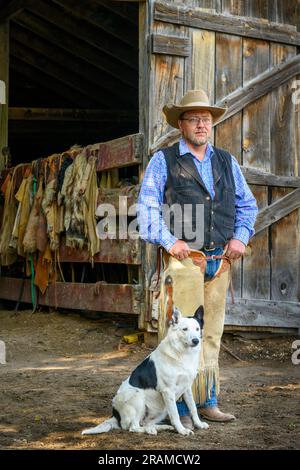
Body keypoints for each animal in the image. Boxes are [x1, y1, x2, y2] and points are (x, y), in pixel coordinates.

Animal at [82, 306, 209, 436]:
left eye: (197, 329)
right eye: (185, 329)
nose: (196, 341)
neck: (182, 354)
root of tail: (115, 415)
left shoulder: (187, 388)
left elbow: (193, 407)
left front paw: (198, 424)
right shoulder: (168, 391)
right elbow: (175, 414)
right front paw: (182, 430)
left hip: (162, 409)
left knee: (145, 423)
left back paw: (161, 427)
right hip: (138, 397)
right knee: (133, 427)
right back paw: (150, 430)